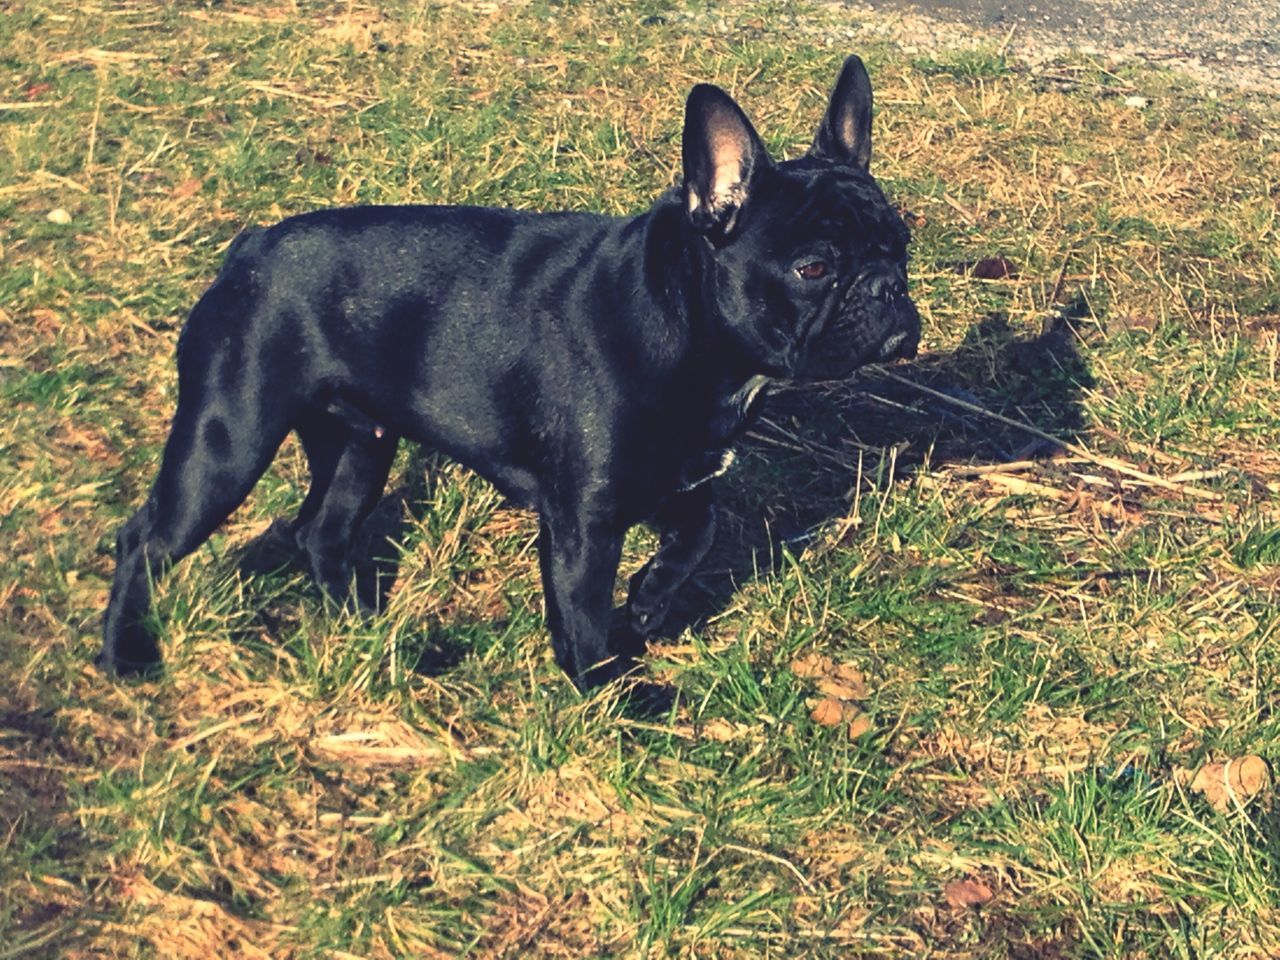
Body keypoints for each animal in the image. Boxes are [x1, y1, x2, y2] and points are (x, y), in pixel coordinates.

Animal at [102, 56, 921, 686]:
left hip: (361, 444)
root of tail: (249, 250)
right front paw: (615, 695)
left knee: (320, 532)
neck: (682, 321)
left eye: (901, 245)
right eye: (814, 268)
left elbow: (701, 530)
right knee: (145, 539)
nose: (889, 289)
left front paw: (649, 600)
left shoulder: (672, 480)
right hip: (228, 442)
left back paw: (371, 629)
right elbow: (583, 615)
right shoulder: (585, 521)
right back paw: (128, 654)